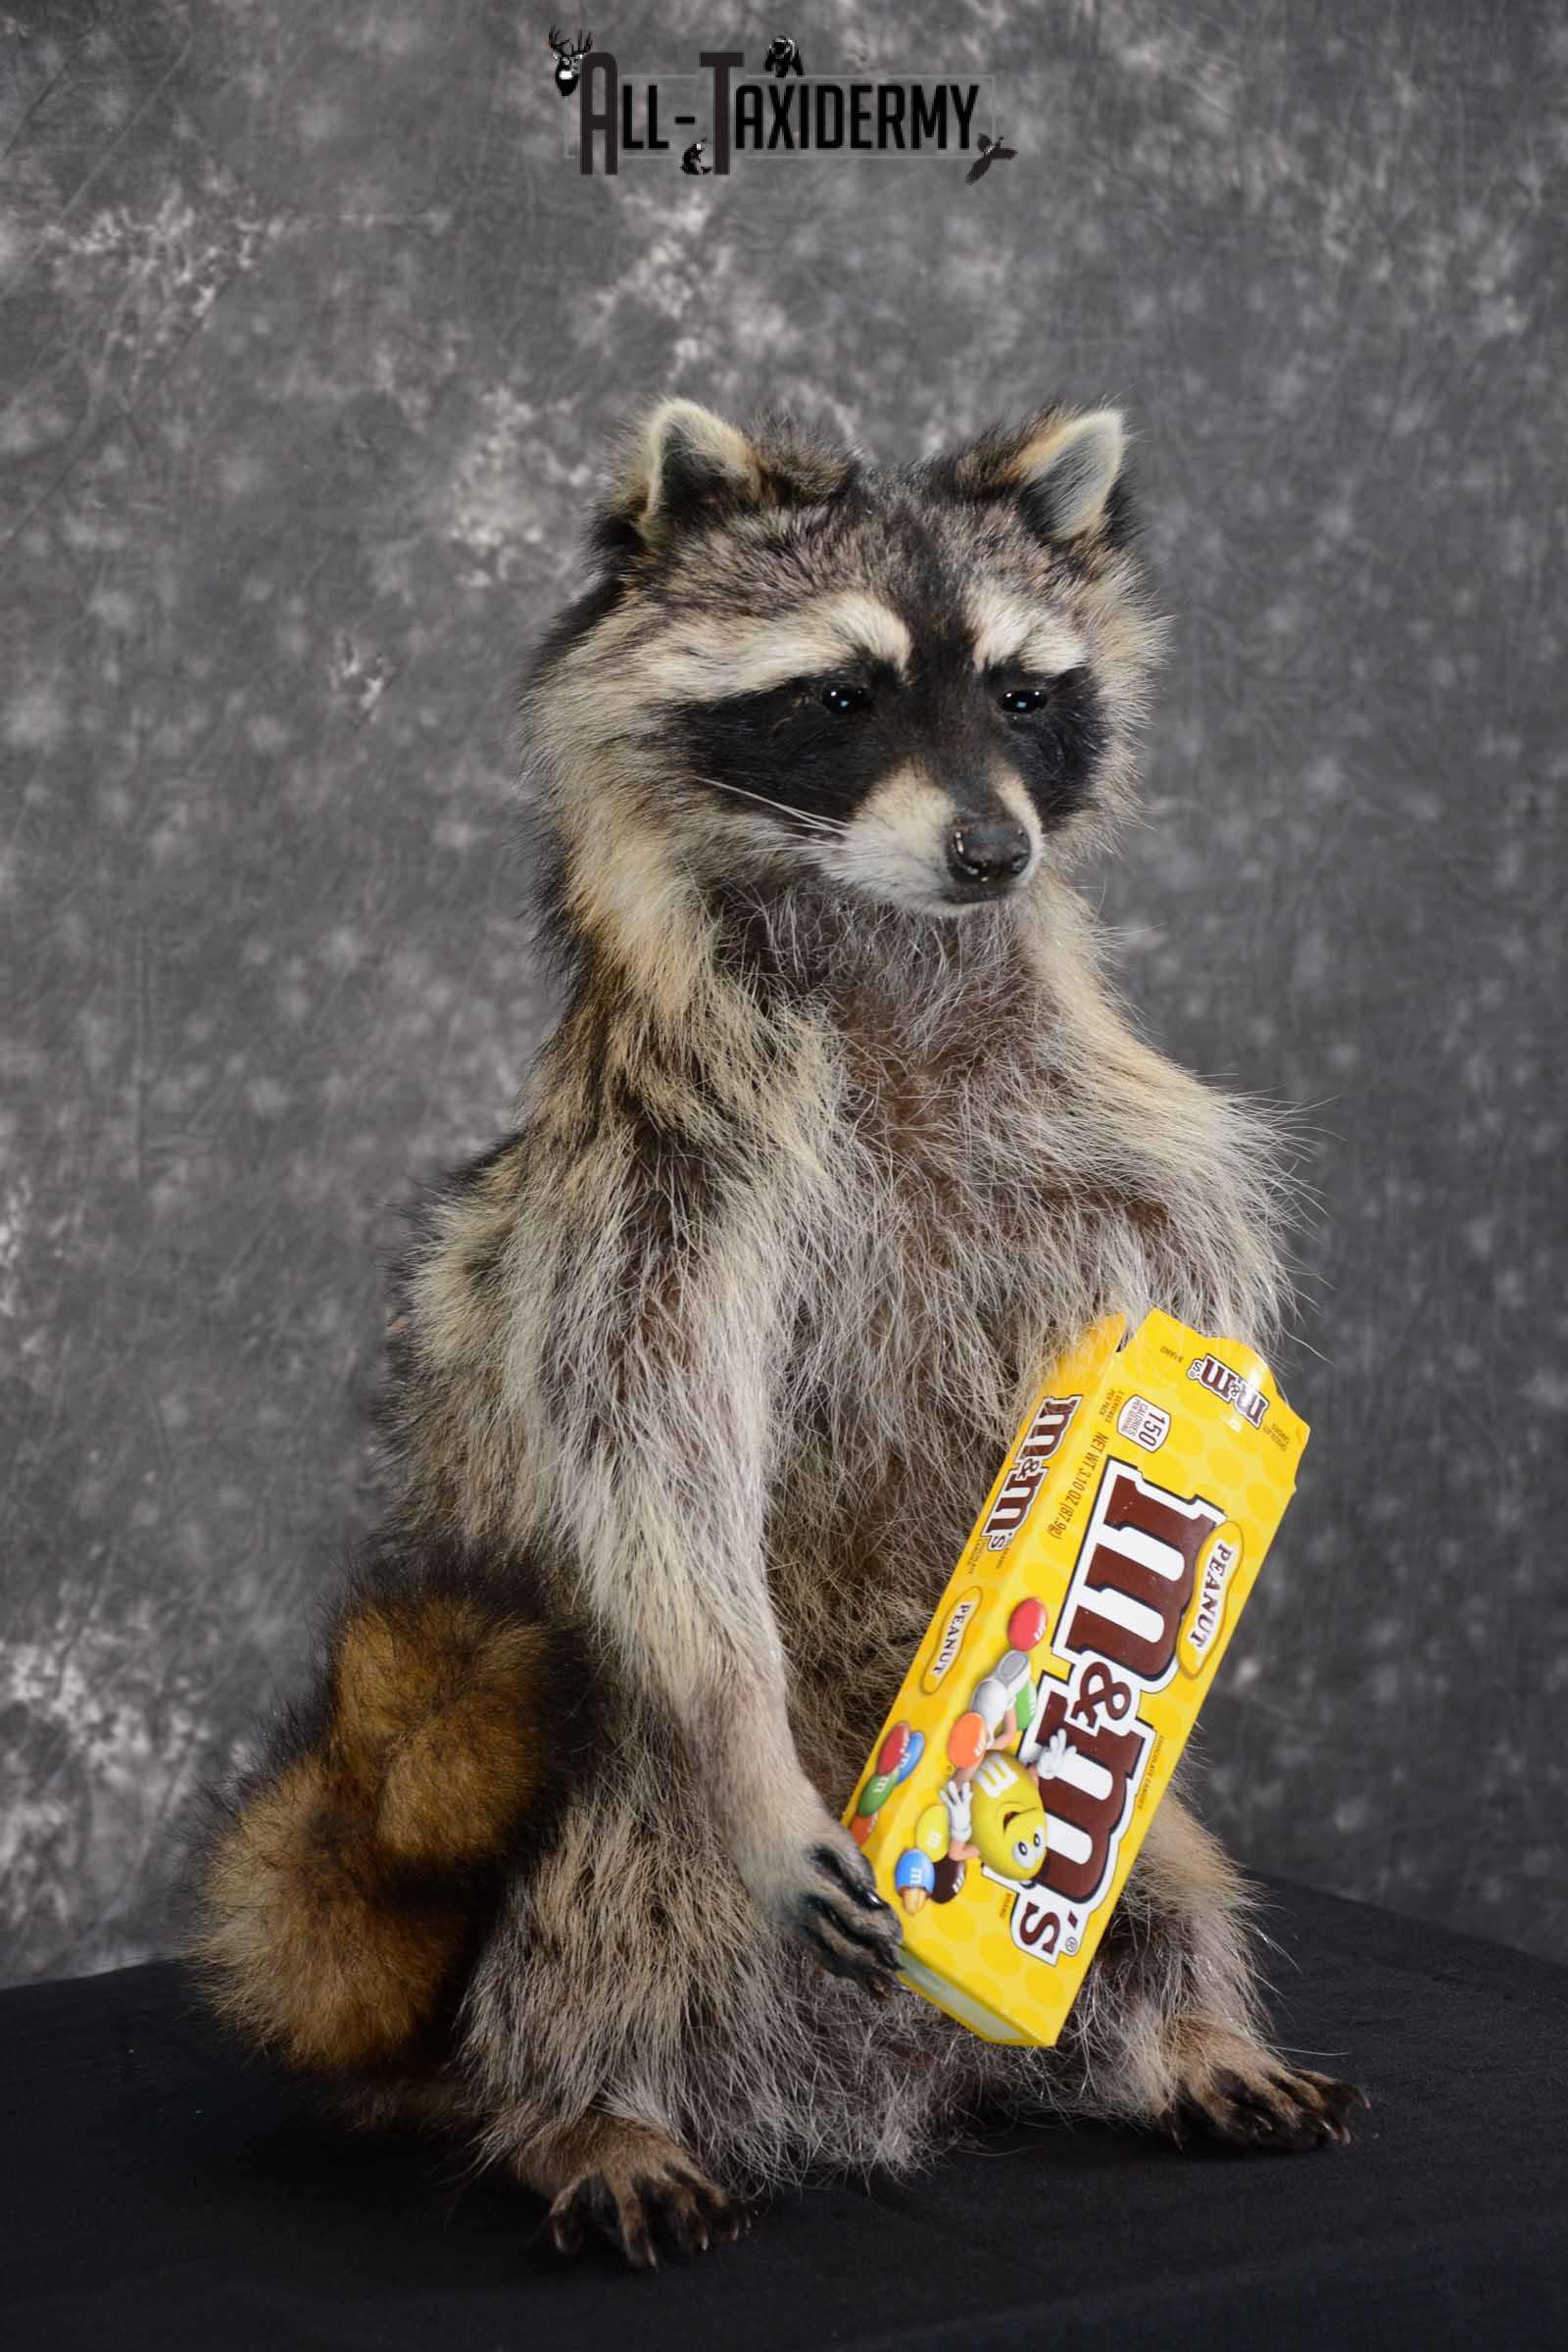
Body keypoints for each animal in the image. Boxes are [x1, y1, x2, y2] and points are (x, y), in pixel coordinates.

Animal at [191, 396, 1365, 2266]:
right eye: (841, 697)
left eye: (1023, 694)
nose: (993, 851)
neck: (893, 938)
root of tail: (895, 2080)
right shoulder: (664, 1159)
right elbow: (642, 1425)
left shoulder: (1102, 1130)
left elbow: (1185, 1282)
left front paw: (1192, 1507)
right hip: (594, 1781)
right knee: (616, 1875)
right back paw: (591, 2101)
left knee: (1171, 1879)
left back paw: (1177, 2027)